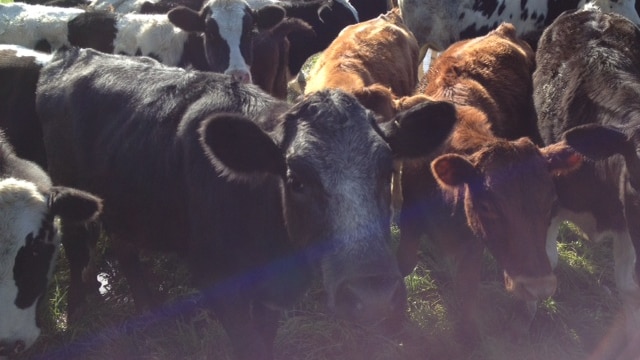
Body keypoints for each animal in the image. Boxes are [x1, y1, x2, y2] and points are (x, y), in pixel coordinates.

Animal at [35, 47, 458, 360]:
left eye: (386, 172)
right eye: (295, 180)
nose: (374, 299)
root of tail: (74, 53)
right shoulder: (215, 279)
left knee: (125, 248)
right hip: (72, 197)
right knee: (78, 254)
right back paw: (75, 321)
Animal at [400, 23, 584, 342]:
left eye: (551, 205)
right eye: (488, 207)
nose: (538, 287)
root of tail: (502, 30)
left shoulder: (471, 244)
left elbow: (467, 292)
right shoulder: (408, 222)